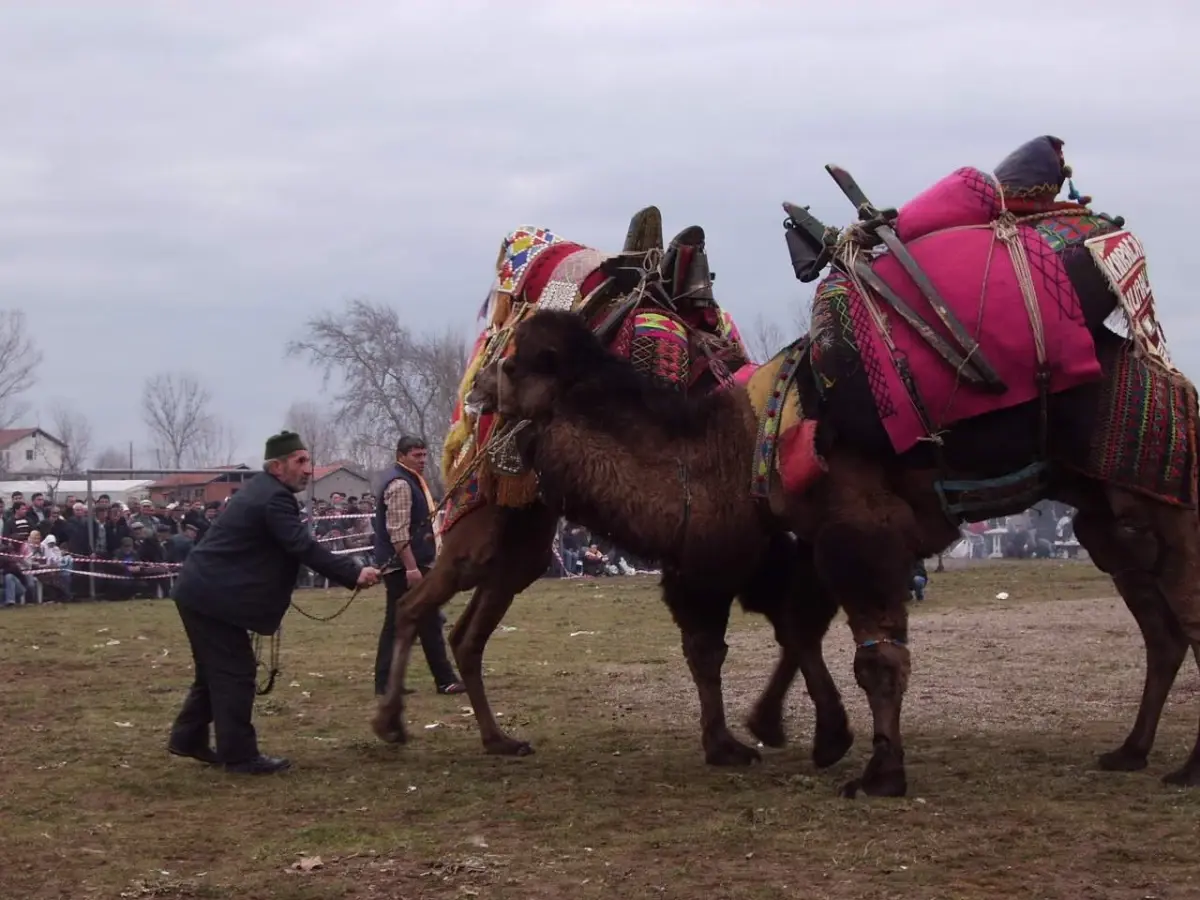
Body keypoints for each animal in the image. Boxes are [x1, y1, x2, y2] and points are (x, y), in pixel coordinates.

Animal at [374, 210, 854, 768]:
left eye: (516, 364)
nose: (481, 389)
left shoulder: (754, 548)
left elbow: (794, 620)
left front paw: (774, 729)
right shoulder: (713, 553)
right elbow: (725, 640)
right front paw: (734, 741)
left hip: (524, 540)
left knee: (467, 634)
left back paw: (498, 739)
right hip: (486, 521)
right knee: (417, 605)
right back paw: (391, 724)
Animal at [484, 137, 1200, 801]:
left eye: (515, 363)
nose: (482, 394)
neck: (729, 448)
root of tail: (1175, 385)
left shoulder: (859, 528)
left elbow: (873, 657)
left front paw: (877, 773)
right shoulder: (802, 536)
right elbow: (797, 625)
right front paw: (812, 737)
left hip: (1169, 499)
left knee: (1186, 618)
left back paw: (1184, 768)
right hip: (1108, 516)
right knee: (1161, 629)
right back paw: (1130, 752)